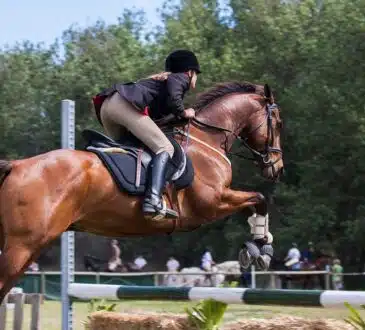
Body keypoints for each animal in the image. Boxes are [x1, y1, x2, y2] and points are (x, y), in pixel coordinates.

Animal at [0, 80, 282, 302]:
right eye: (277, 123)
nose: (277, 167)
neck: (206, 140)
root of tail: (17, 165)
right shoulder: (211, 203)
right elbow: (259, 198)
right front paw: (260, 249)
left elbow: (255, 202)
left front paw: (260, 243)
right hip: (23, 245)